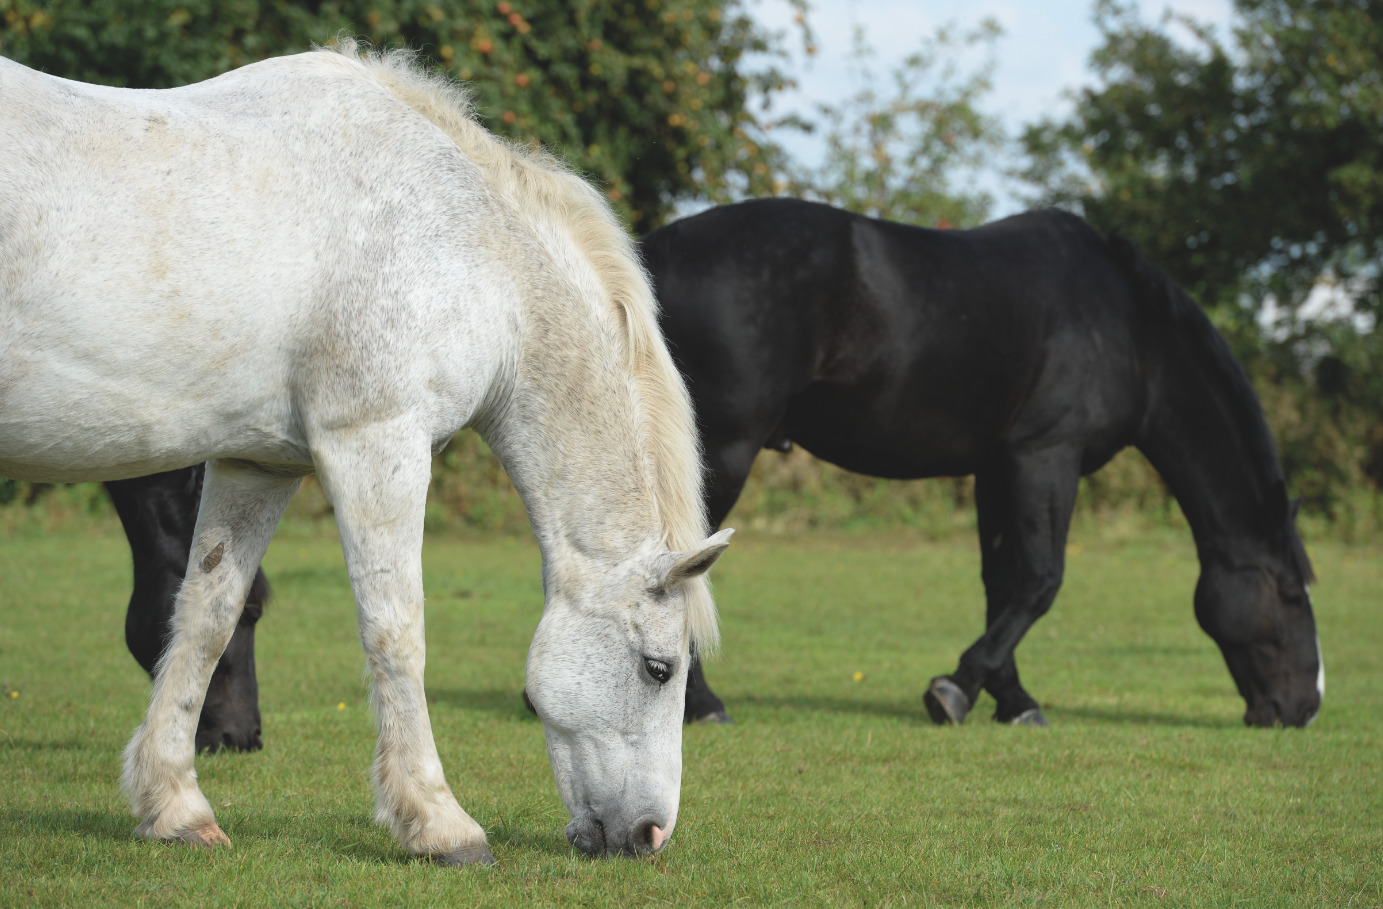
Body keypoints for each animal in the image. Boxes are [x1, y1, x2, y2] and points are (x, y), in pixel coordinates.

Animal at [0, 45, 731, 864]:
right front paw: (440, 822)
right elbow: (396, 631)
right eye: (659, 668)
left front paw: (176, 805)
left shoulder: (257, 466)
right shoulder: (377, 443)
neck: (462, 247)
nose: (650, 833)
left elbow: (205, 617)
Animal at [642, 198, 1322, 729]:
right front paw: (955, 689)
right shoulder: (1047, 457)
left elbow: (1002, 582)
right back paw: (703, 703)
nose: (1305, 707)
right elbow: (1040, 580)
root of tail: (660, 248)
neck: (1130, 328)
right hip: (724, 451)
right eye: (1290, 593)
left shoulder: (999, 468)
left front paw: (1012, 698)